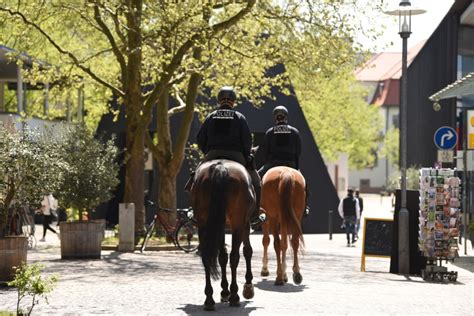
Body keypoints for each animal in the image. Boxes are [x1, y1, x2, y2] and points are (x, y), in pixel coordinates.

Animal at [190, 160, 256, 312]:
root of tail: (220, 166)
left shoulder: (219, 228)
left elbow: (222, 257)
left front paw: (224, 291)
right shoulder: (245, 224)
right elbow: (247, 251)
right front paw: (247, 286)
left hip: (205, 225)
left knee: (207, 256)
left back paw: (209, 299)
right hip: (238, 225)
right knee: (235, 257)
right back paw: (234, 296)